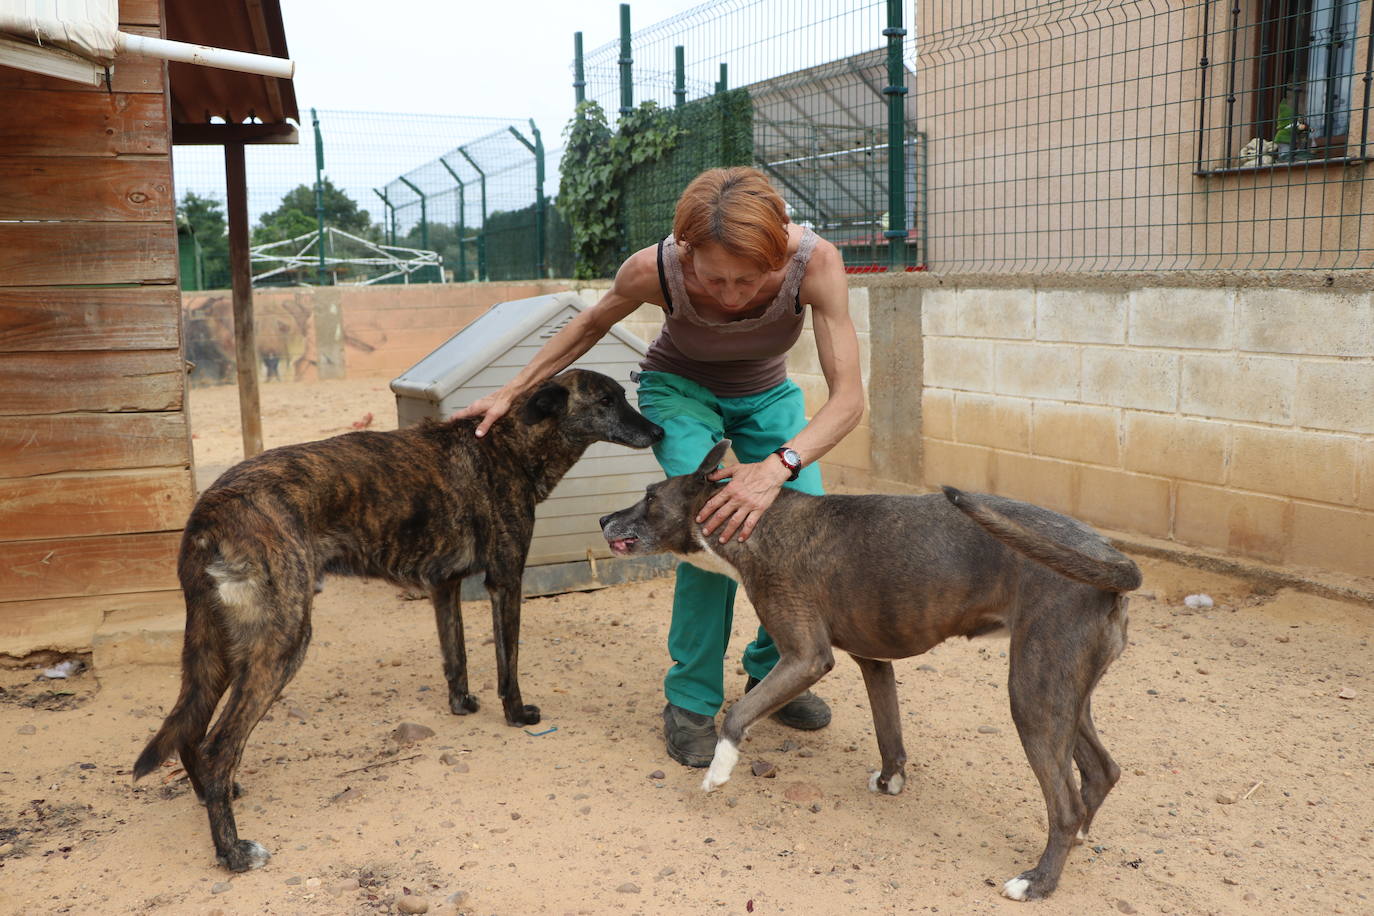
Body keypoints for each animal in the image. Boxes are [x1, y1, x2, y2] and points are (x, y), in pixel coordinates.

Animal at [135, 368, 665, 873]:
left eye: (623, 395)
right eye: (606, 400)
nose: (658, 431)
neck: (508, 444)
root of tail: (210, 508)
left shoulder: (444, 586)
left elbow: (456, 657)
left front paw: (461, 705)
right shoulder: (506, 580)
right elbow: (507, 664)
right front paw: (516, 715)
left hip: (218, 648)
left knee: (190, 730)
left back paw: (211, 795)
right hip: (282, 641)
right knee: (218, 746)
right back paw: (233, 852)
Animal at [601, 439, 1137, 900]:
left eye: (650, 496)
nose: (605, 516)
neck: (757, 523)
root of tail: (1110, 557)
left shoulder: (806, 657)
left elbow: (738, 714)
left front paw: (718, 771)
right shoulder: (874, 663)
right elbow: (889, 733)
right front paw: (890, 781)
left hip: (1032, 696)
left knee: (1064, 805)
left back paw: (1038, 882)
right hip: (1063, 693)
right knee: (1101, 770)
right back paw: (1079, 837)